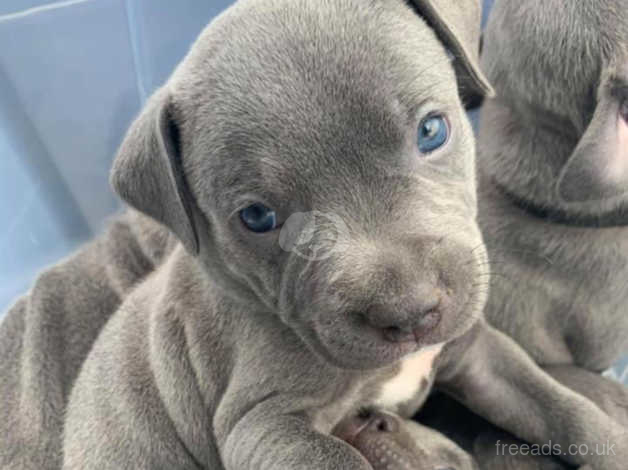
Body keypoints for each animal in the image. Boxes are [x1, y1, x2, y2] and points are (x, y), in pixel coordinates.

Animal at [47, 0, 624, 470]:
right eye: (257, 217)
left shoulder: (477, 351)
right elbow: (343, 458)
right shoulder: (263, 427)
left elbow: (563, 407)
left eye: (432, 130)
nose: (410, 313)